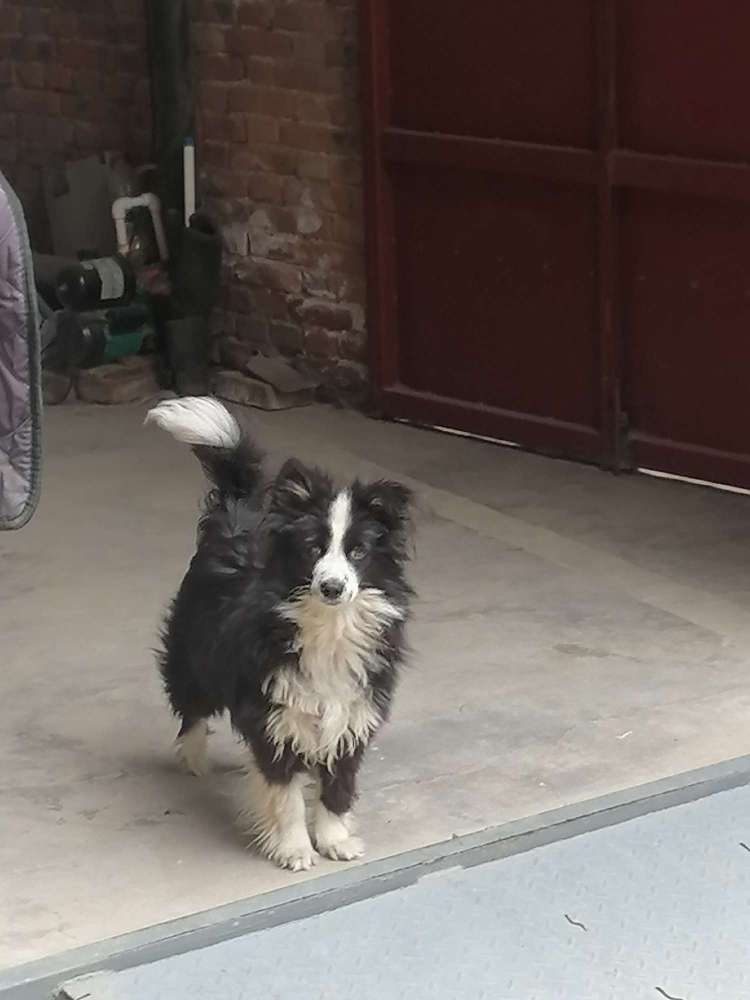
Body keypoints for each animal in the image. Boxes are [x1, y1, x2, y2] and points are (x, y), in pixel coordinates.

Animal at [146, 397, 414, 871]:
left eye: (358, 552)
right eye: (313, 550)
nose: (332, 587)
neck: (327, 626)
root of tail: (233, 516)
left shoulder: (353, 714)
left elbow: (338, 788)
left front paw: (335, 840)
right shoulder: (273, 715)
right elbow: (283, 795)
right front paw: (294, 850)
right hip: (192, 652)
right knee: (190, 706)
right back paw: (193, 758)